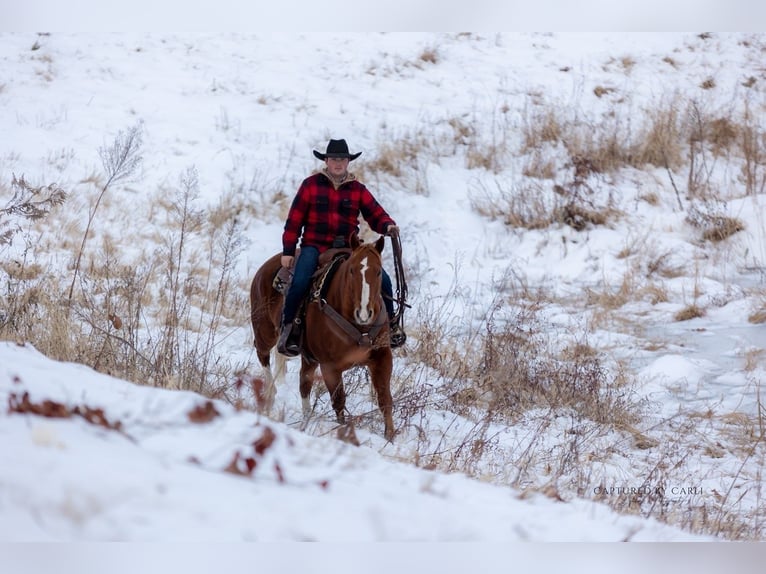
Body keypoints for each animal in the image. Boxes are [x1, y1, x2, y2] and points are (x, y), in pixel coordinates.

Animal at [249, 232, 395, 441]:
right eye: (351, 270)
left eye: (378, 272)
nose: (364, 313)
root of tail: (265, 267)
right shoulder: (330, 367)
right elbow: (339, 402)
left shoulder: (382, 358)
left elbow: (385, 399)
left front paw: (390, 437)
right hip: (265, 330)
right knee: (263, 354)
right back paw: (269, 396)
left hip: (308, 357)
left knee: (304, 383)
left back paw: (305, 421)